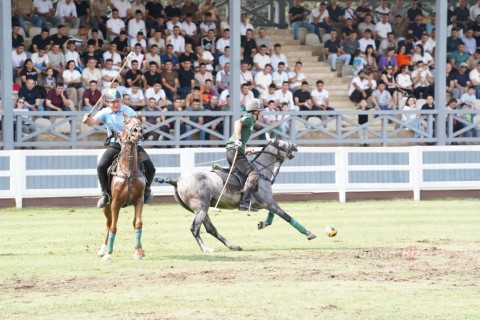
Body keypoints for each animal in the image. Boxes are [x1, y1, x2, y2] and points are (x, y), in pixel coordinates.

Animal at [95, 112, 144, 260]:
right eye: (126, 122)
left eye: (140, 122)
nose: (138, 131)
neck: (128, 171)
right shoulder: (115, 202)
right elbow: (113, 227)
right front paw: (108, 253)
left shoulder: (139, 200)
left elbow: (138, 223)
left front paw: (138, 252)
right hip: (106, 205)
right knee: (109, 223)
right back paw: (103, 250)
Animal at [156, 138, 316, 252]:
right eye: (283, 144)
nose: (295, 145)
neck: (261, 172)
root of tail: (177, 181)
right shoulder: (268, 202)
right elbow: (286, 216)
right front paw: (309, 233)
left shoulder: (264, 203)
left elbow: (273, 216)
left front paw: (261, 224)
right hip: (201, 207)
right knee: (195, 228)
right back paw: (207, 249)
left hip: (201, 209)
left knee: (210, 229)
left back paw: (233, 246)